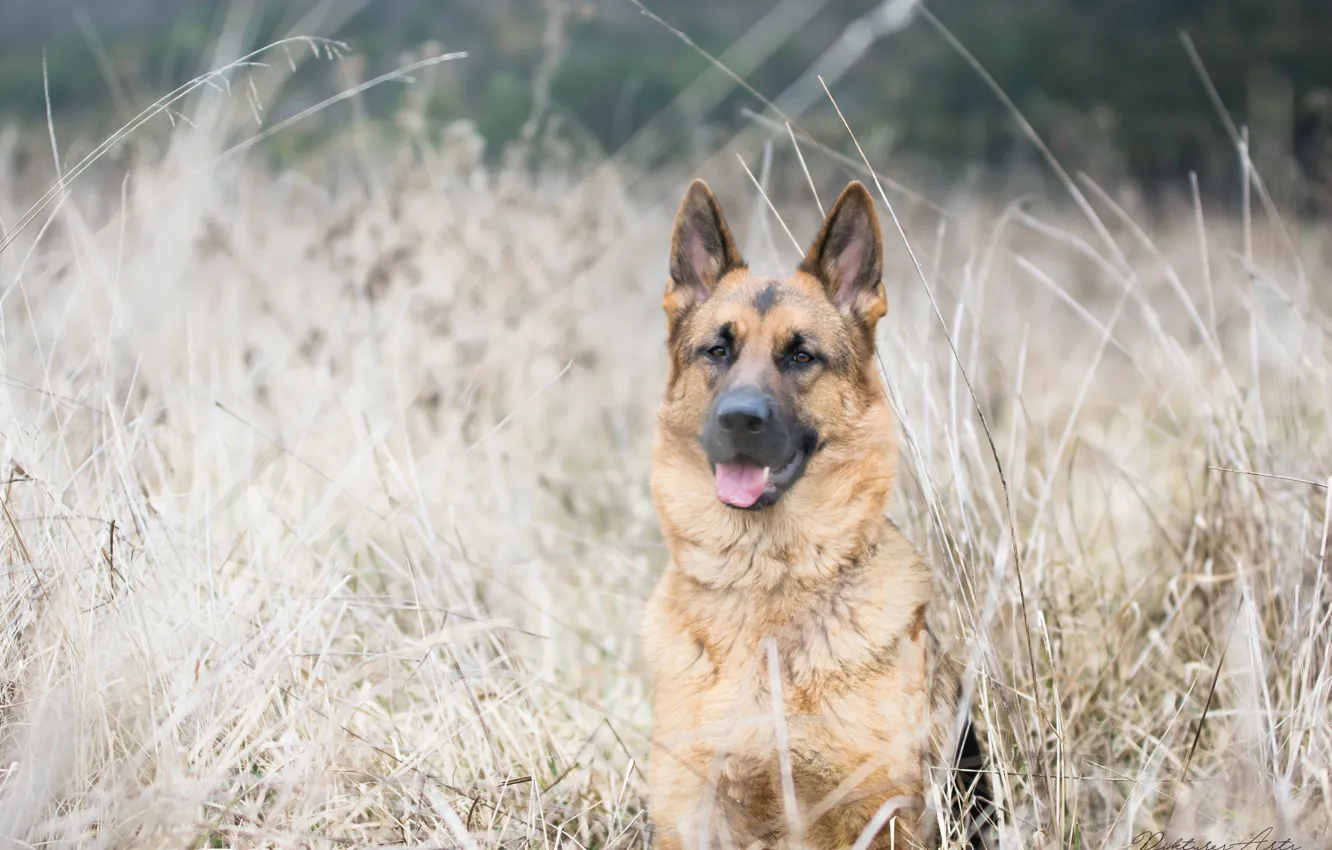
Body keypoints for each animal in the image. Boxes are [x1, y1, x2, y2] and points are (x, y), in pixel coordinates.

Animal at [639, 181, 996, 850]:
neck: (765, 580)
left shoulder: (875, 813)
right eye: (717, 350)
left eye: (801, 356)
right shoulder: (693, 810)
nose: (740, 420)